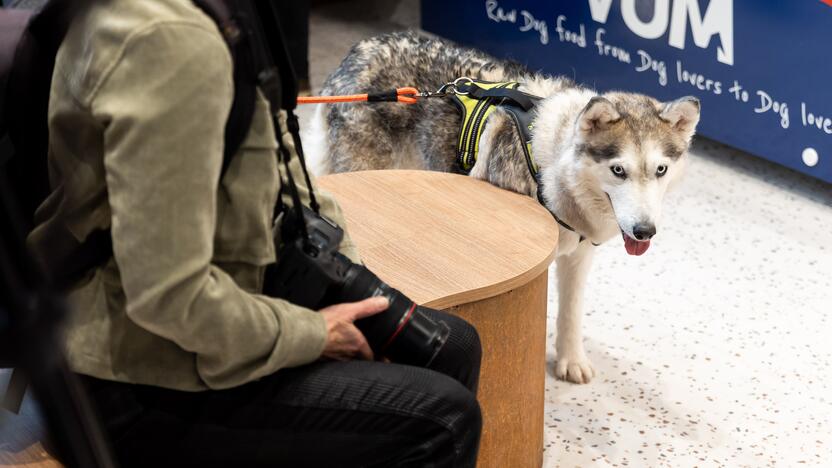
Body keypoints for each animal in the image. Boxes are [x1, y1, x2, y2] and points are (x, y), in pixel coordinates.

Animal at [302, 32, 700, 384]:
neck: (552, 165)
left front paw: (570, 361)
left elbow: (570, 313)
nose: (644, 232)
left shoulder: (578, 253)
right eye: (619, 170)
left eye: (660, 170)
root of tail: (358, 50)